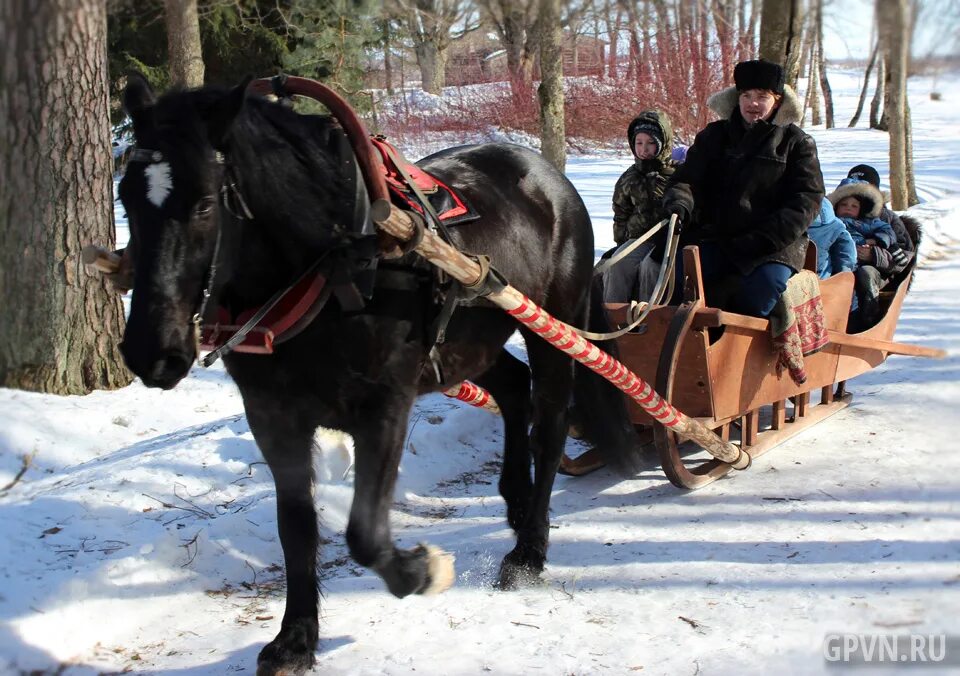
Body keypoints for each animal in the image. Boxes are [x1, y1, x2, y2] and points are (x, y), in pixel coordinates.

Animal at [120, 76, 640, 672]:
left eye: (205, 203)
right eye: (126, 199)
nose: (150, 351)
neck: (332, 262)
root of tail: (548, 175)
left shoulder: (385, 405)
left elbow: (365, 532)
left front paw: (421, 571)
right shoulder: (272, 417)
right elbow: (295, 527)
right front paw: (295, 638)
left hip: (552, 326)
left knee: (549, 426)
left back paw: (529, 549)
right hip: (468, 346)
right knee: (514, 389)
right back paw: (515, 497)